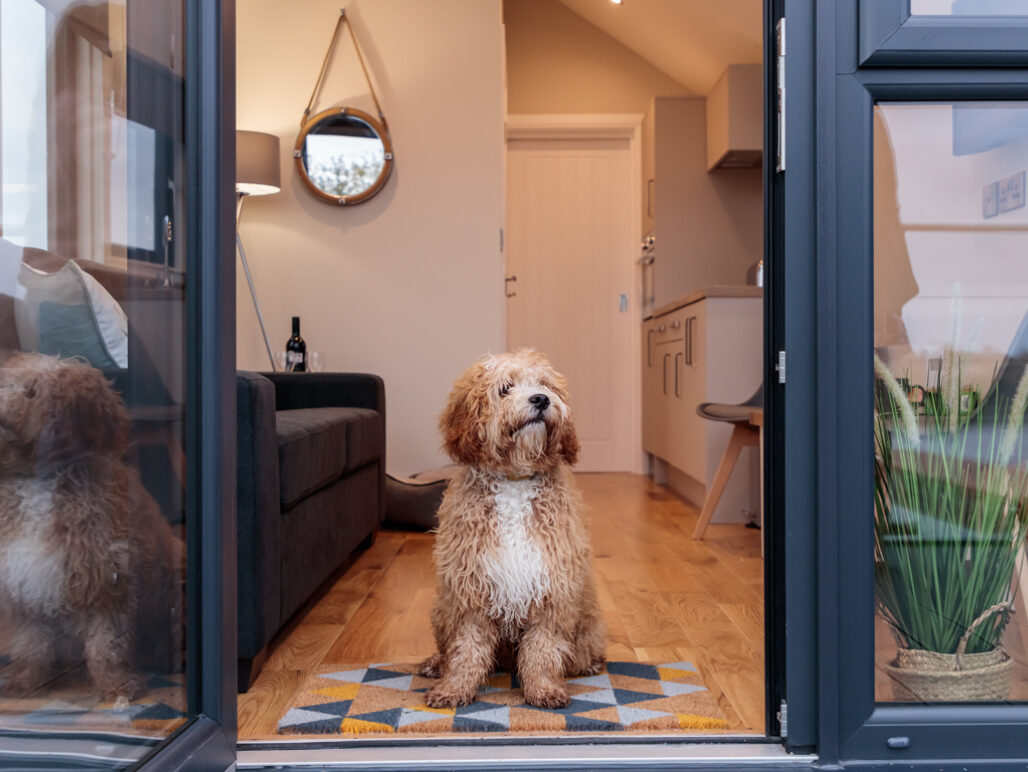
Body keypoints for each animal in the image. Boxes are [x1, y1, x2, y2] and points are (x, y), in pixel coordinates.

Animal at [0, 353, 185, 703]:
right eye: (11, 386)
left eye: (35, 393)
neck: (42, 481)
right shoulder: (24, 584)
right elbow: (31, 642)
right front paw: (25, 680)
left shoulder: (109, 581)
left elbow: (107, 644)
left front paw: (116, 685)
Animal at [417, 349, 604, 707]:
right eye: (505, 388)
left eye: (545, 385)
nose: (542, 399)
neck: (515, 480)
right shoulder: (470, 587)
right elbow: (465, 649)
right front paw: (454, 688)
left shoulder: (553, 587)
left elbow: (543, 649)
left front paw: (543, 689)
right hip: (440, 607)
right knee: (447, 648)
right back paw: (435, 663)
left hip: (588, 616)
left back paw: (588, 664)